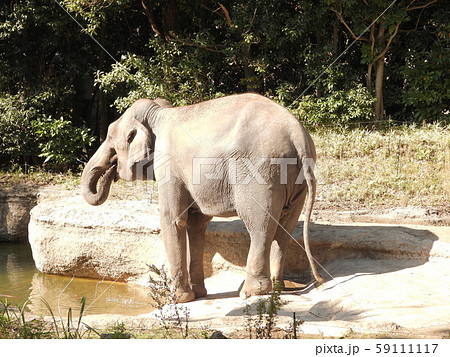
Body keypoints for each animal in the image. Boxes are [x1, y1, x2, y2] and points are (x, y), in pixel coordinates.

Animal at [81, 92, 324, 300]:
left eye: (111, 140)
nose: (111, 172)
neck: (158, 113)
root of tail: (297, 134)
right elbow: (196, 224)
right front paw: (198, 294)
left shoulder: (168, 166)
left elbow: (173, 220)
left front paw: (177, 299)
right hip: (298, 178)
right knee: (285, 228)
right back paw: (277, 288)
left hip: (261, 171)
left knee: (260, 225)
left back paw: (251, 293)